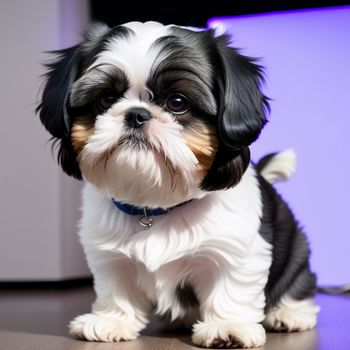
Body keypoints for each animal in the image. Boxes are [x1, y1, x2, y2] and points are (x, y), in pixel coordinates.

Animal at [38, 21, 320, 348]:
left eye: (177, 103)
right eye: (106, 99)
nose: (137, 114)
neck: (156, 203)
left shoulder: (236, 250)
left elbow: (230, 286)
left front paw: (228, 326)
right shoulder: (108, 255)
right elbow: (116, 283)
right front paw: (112, 319)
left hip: (295, 249)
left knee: (297, 280)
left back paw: (290, 313)